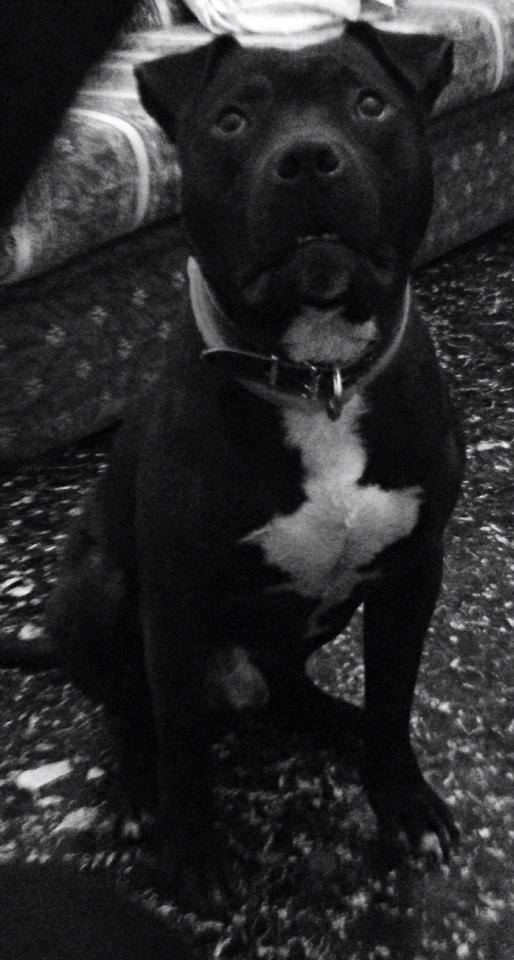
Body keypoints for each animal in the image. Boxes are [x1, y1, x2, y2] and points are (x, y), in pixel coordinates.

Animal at [47, 23, 464, 905]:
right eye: (232, 121)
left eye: (368, 103)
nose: (307, 156)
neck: (318, 376)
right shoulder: (173, 602)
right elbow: (180, 743)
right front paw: (196, 854)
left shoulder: (413, 572)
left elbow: (396, 696)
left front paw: (402, 798)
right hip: (95, 592)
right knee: (130, 713)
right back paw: (136, 792)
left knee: (293, 689)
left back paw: (341, 721)